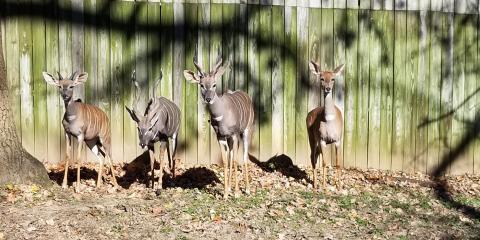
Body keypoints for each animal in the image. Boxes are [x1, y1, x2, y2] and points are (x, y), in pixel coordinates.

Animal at [184, 55, 255, 199]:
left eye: (214, 84)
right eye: (201, 85)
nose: (208, 99)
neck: (221, 115)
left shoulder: (233, 135)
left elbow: (234, 160)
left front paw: (237, 193)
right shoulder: (220, 137)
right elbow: (225, 160)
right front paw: (226, 194)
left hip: (246, 131)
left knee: (243, 157)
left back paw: (247, 189)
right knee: (231, 157)